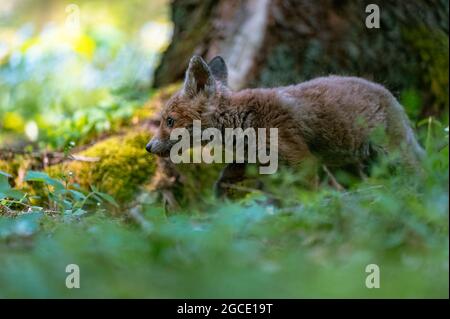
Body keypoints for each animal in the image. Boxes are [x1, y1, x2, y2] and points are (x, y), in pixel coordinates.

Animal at [146, 55, 424, 195]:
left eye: (169, 121)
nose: (148, 147)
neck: (243, 121)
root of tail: (390, 96)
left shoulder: (301, 160)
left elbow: (307, 194)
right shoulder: (256, 162)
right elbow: (227, 180)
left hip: (391, 153)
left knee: (419, 170)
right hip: (354, 163)